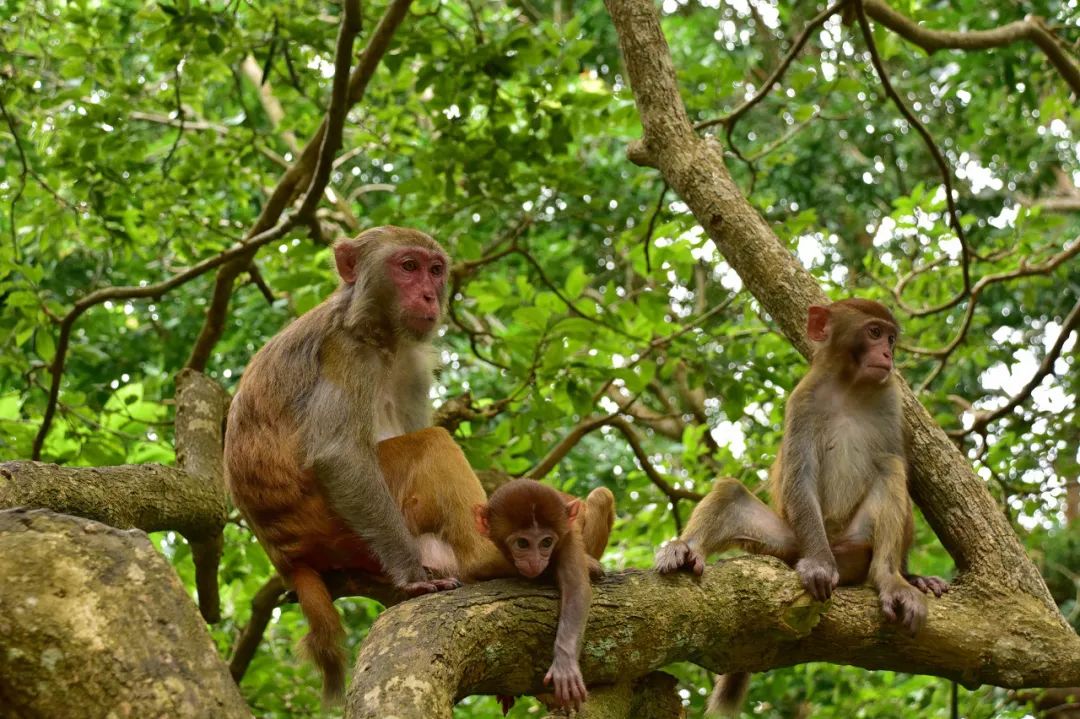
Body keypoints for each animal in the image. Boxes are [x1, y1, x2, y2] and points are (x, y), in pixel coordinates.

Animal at [475, 479, 617, 708]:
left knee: (601, 495)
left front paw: (564, 664)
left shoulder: (567, 537)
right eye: (522, 543)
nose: (535, 562)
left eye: (546, 542)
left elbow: (576, 588)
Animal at [652, 295, 950, 712]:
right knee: (731, 494)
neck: (850, 387)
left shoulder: (891, 398)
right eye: (874, 332)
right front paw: (820, 567)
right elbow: (800, 476)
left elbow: (896, 462)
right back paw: (685, 549)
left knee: (890, 469)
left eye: (891, 337)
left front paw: (908, 575)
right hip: (791, 541)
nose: (888, 354)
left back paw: (891, 578)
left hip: (858, 543)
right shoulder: (803, 400)